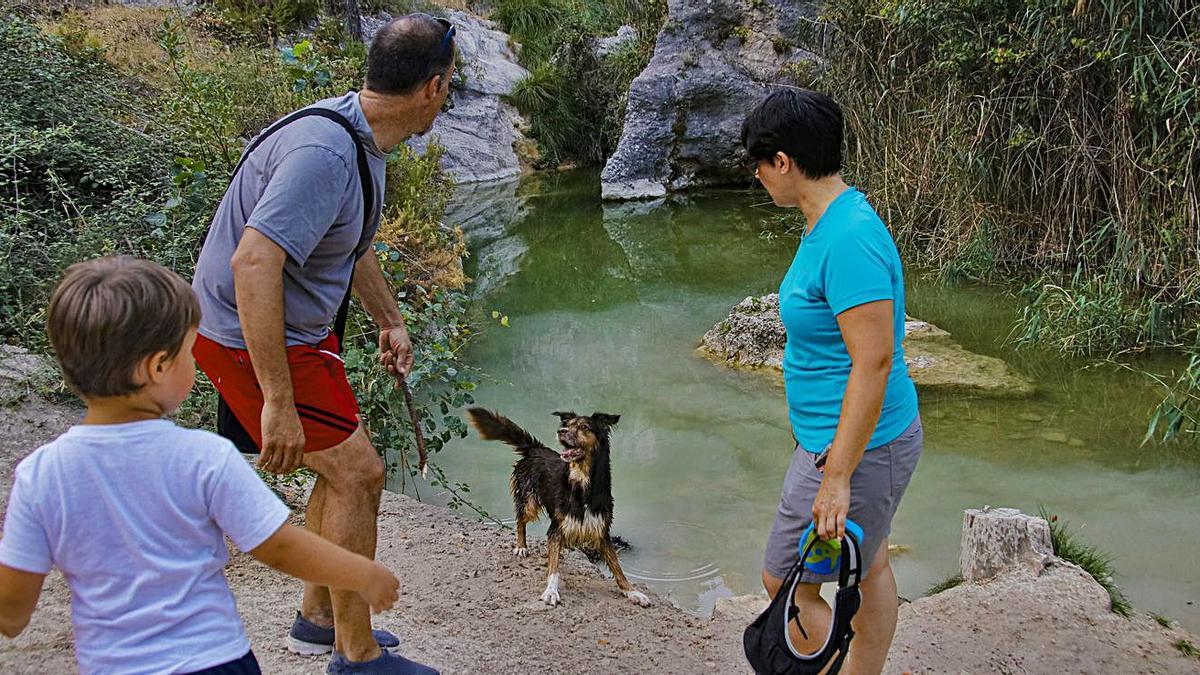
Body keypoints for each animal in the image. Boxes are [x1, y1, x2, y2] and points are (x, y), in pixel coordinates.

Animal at [465, 408, 652, 607]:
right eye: (567, 425)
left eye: (584, 427)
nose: (561, 431)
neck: (581, 484)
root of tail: (536, 448)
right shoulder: (556, 528)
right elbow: (553, 567)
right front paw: (551, 591)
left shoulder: (601, 530)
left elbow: (617, 567)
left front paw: (632, 592)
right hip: (529, 502)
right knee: (520, 520)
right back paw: (521, 546)